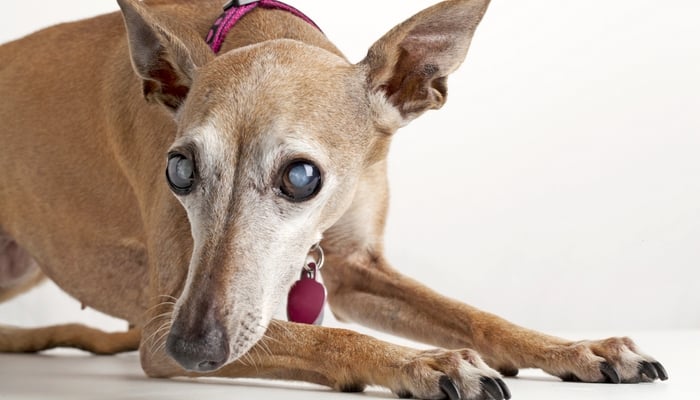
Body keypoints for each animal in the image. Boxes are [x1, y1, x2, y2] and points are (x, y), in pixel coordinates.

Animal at [0, 0, 668, 400]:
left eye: (301, 177)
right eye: (179, 168)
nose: (190, 349)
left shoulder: (353, 269)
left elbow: (477, 317)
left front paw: (577, 347)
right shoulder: (168, 310)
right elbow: (325, 338)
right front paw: (426, 363)